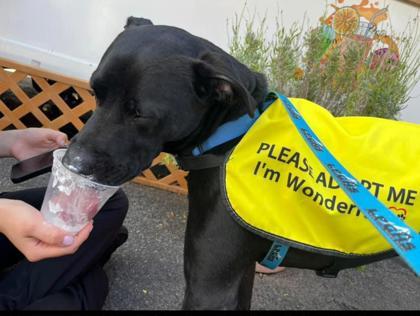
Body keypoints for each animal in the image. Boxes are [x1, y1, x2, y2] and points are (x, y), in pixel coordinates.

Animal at [64, 17, 398, 308]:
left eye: (140, 114)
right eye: (94, 92)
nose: (72, 163)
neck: (231, 133)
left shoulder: (209, 288)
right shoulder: (239, 272)